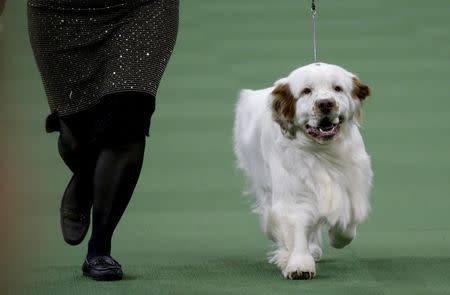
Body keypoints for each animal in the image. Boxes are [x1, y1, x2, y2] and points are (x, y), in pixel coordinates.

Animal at [232, 62, 372, 280]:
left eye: (338, 88)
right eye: (307, 91)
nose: (325, 104)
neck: (323, 151)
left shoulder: (351, 185)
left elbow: (346, 225)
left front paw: (337, 237)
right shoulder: (293, 195)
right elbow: (295, 228)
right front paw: (299, 265)